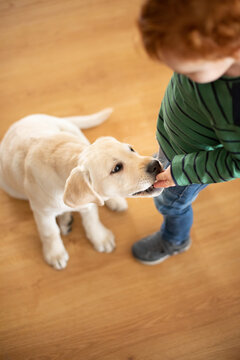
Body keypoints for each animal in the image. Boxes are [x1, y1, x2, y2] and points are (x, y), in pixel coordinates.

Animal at [0, 109, 162, 270]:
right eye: (116, 168)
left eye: (131, 149)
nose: (156, 165)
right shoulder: (42, 212)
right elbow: (50, 232)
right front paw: (55, 254)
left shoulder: (87, 203)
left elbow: (92, 220)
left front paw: (100, 237)